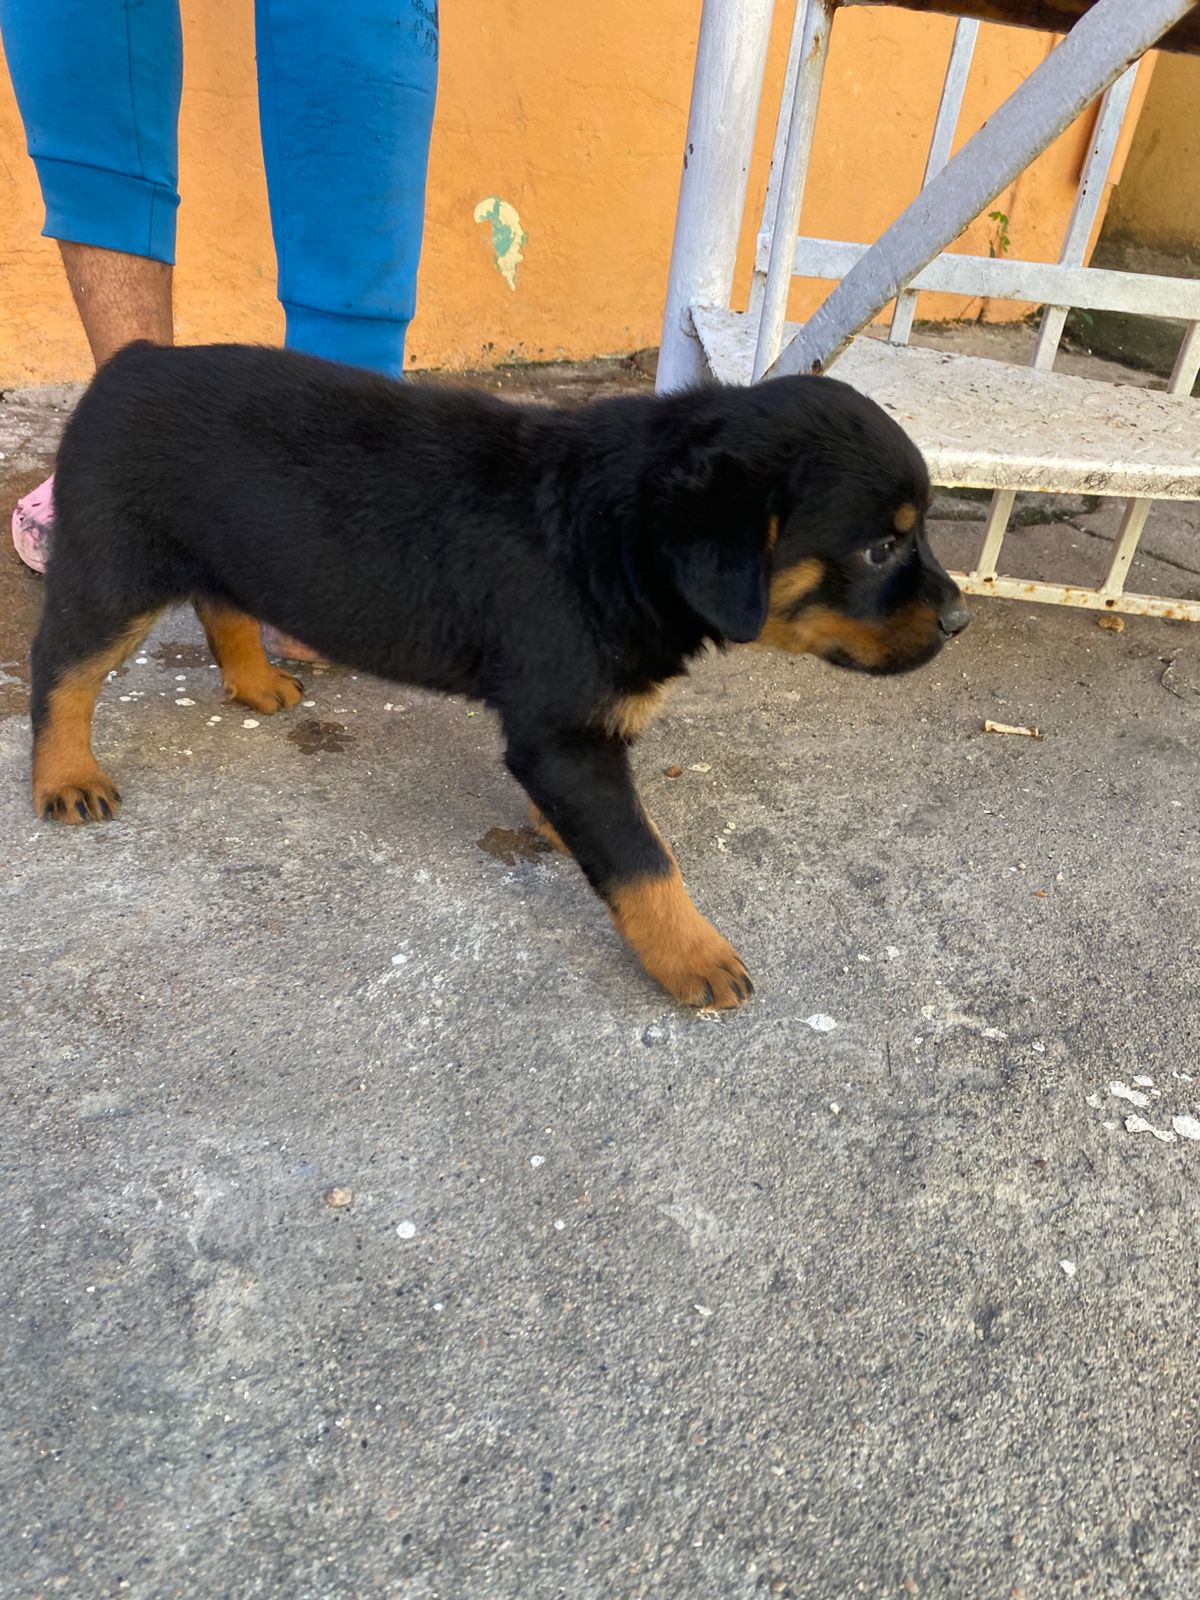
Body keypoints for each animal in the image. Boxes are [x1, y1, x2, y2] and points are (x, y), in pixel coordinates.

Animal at [28, 342, 966, 1004]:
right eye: (880, 548)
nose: (960, 620)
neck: (620, 536)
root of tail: (134, 356)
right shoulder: (564, 732)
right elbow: (641, 859)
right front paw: (693, 954)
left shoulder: (571, 736)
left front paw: (558, 829)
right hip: (113, 569)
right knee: (62, 669)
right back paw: (67, 776)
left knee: (221, 603)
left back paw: (255, 683)